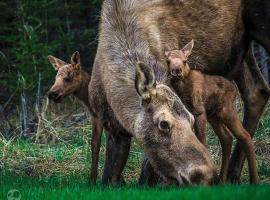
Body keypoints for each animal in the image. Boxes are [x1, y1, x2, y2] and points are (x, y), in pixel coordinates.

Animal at [166, 41, 258, 184]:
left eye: (185, 61)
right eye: (168, 61)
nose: (176, 71)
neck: (183, 90)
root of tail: (233, 89)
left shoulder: (199, 111)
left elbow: (202, 140)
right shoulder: (189, 113)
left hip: (227, 111)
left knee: (245, 135)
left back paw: (254, 180)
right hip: (214, 116)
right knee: (227, 138)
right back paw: (221, 178)